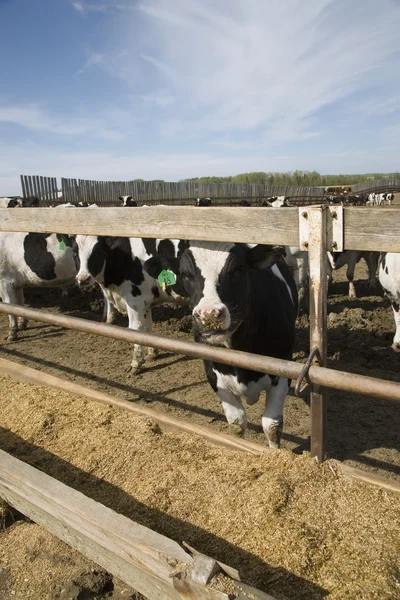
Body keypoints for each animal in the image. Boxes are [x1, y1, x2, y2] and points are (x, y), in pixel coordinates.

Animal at [76, 234, 188, 370]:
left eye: (98, 251)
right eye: (75, 251)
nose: (83, 279)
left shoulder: (135, 301)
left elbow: (135, 329)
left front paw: (136, 363)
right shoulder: (146, 302)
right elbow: (147, 327)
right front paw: (152, 353)